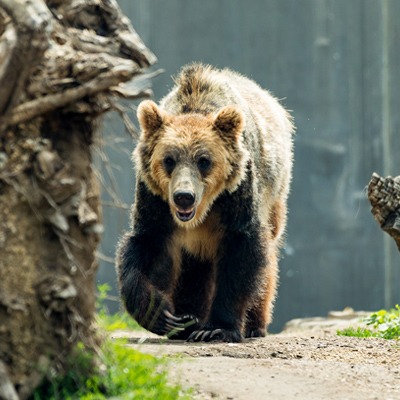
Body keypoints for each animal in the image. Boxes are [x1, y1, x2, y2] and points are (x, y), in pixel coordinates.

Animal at [115, 64, 294, 342]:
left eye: (204, 161)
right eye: (168, 160)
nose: (183, 196)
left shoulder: (237, 195)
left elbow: (241, 256)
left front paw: (218, 327)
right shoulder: (155, 201)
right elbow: (146, 249)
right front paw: (162, 315)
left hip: (274, 193)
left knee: (267, 258)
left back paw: (254, 324)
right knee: (194, 268)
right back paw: (188, 320)